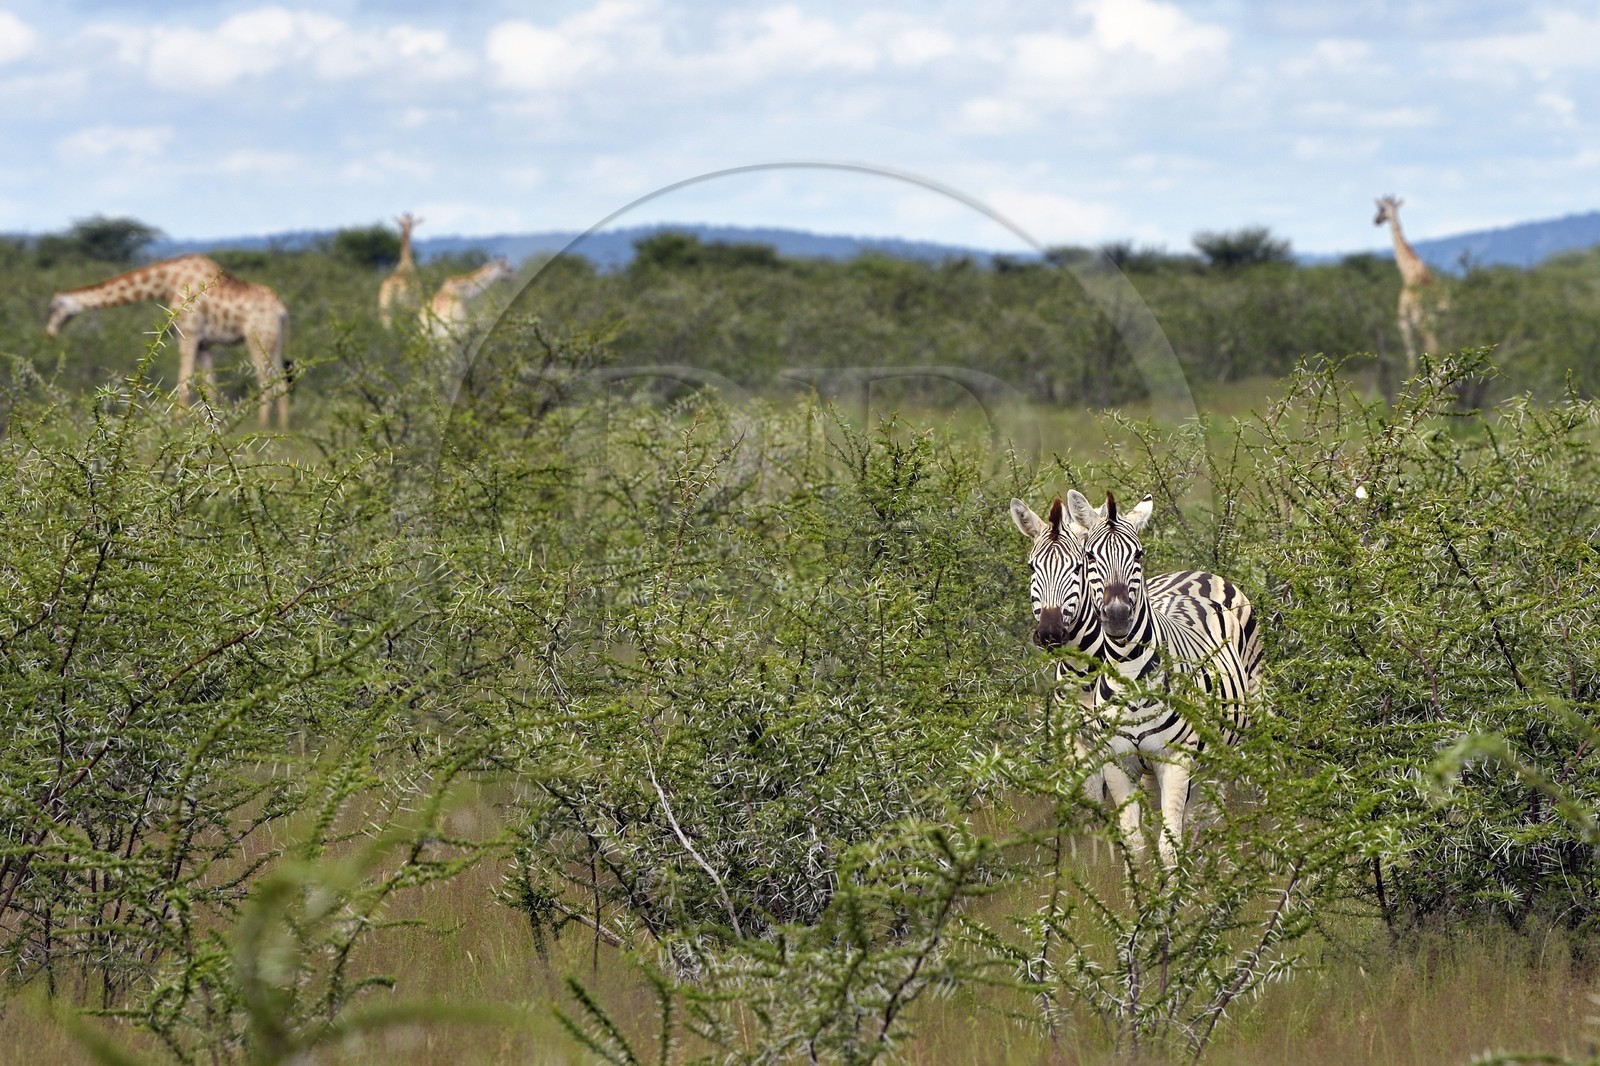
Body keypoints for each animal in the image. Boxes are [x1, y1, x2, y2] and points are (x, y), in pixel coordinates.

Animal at [46, 255, 290, 428]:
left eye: (53, 307)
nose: (49, 333)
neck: (167, 282)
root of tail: (280, 310)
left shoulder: (188, 333)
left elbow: (184, 381)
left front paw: (177, 425)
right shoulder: (205, 343)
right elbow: (209, 384)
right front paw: (214, 424)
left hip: (257, 337)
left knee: (264, 378)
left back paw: (263, 426)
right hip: (275, 340)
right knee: (280, 379)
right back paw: (283, 428)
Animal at [1374, 195, 1448, 378]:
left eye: (1381, 209)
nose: (1375, 220)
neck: (1409, 272)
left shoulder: (1403, 323)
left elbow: (1411, 356)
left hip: (1423, 323)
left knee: (1432, 347)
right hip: (1443, 324)